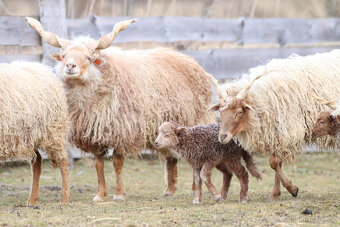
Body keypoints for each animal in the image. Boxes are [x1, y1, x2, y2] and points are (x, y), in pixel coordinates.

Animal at [0, 61, 69, 207]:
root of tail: (41, 67)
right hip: (32, 136)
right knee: (37, 161)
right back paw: (32, 200)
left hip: (54, 131)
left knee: (63, 161)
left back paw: (64, 199)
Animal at [26, 17, 214, 202]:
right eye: (63, 56)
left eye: (88, 58)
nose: (70, 66)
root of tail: (191, 61)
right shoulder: (96, 134)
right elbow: (99, 164)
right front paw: (100, 195)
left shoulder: (122, 131)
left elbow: (117, 163)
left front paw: (118, 194)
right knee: (171, 157)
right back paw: (170, 190)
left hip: (194, 121)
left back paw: (192, 189)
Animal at [207, 51, 340, 200]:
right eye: (220, 111)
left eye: (239, 112)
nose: (222, 137)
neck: (264, 99)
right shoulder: (276, 133)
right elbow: (276, 163)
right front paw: (276, 193)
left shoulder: (285, 132)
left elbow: (274, 162)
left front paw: (291, 188)